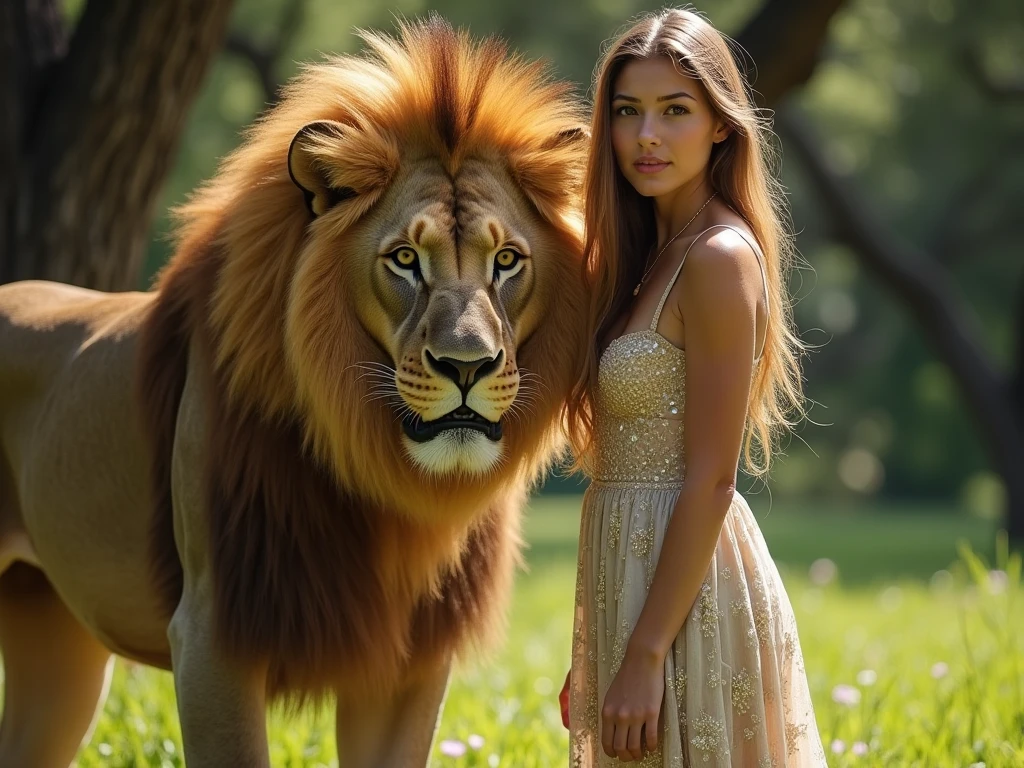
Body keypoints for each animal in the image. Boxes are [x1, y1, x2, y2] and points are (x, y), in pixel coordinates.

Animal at [0, 18, 587, 767]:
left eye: (507, 261)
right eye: (405, 259)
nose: (467, 366)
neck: (384, 482)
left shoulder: (411, 661)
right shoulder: (211, 633)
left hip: (56, 655)